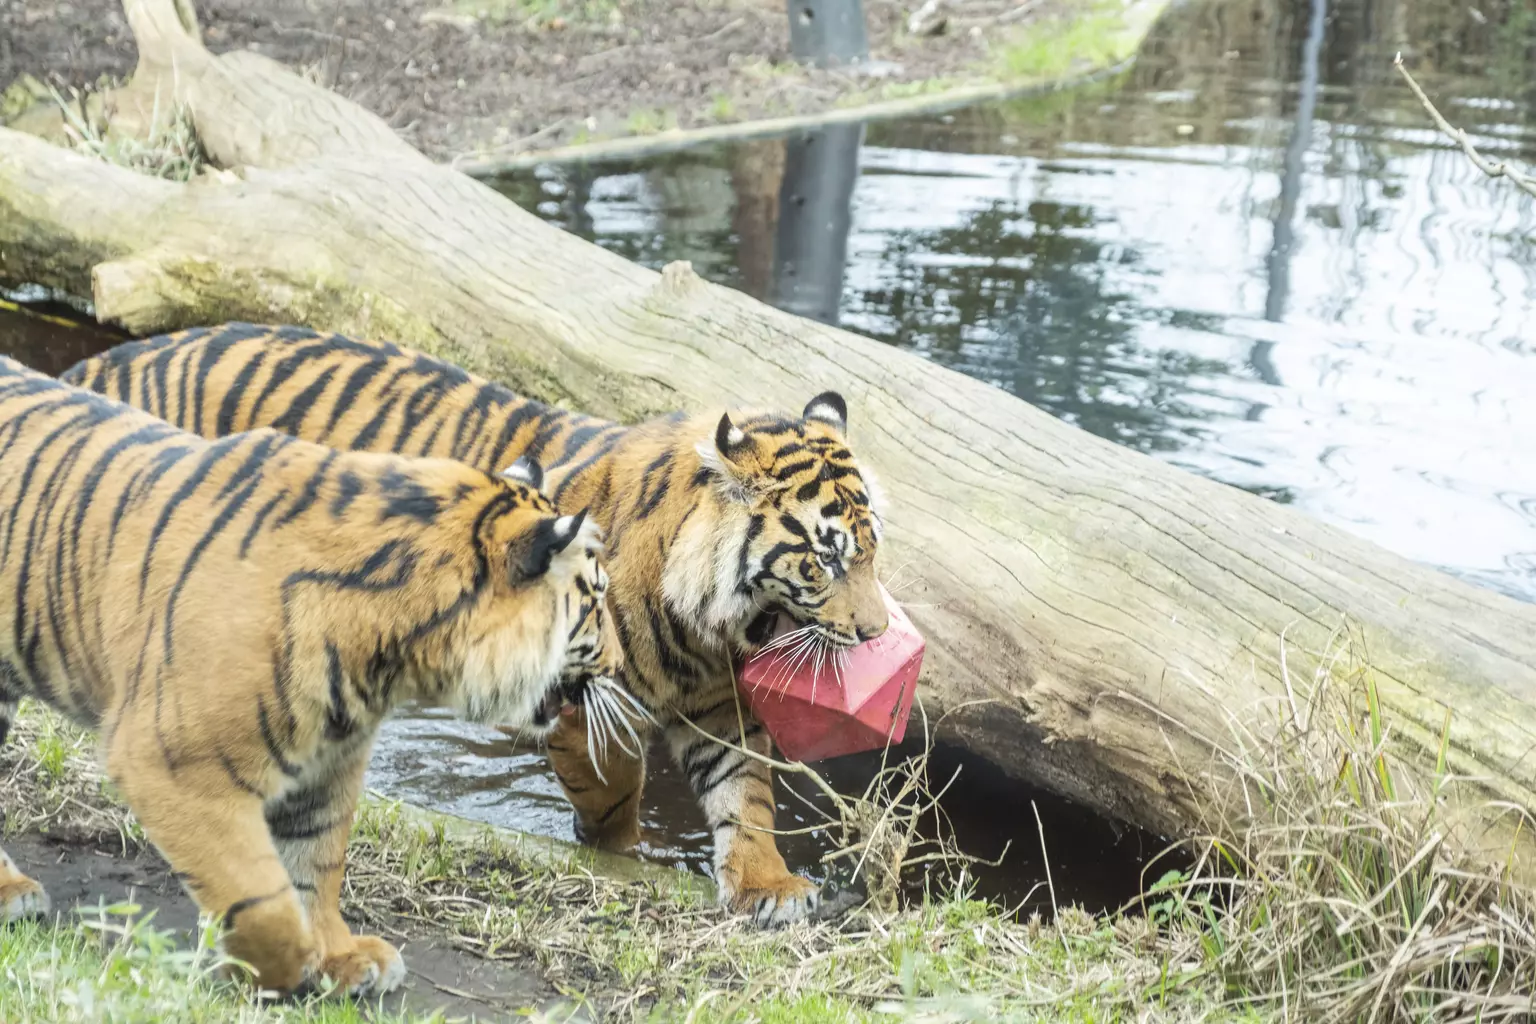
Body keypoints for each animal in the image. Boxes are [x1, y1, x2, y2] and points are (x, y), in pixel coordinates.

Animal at [3, 356, 623, 994]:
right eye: (597, 601)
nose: (620, 665)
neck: (392, 652)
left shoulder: (327, 764)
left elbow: (315, 864)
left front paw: (340, 958)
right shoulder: (171, 760)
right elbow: (258, 893)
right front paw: (282, 966)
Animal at [66, 322, 897, 927]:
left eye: (871, 551)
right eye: (825, 559)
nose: (876, 634)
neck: (709, 623)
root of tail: (105, 364)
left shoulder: (718, 702)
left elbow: (746, 795)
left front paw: (769, 886)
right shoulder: (580, 699)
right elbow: (614, 793)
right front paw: (621, 859)